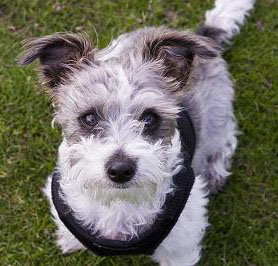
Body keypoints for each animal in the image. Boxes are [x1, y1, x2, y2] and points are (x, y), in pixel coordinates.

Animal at [18, 0, 255, 264]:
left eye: (150, 118)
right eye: (89, 118)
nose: (121, 170)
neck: (119, 203)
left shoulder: (181, 244)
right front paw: (70, 240)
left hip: (217, 115)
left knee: (227, 136)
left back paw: (216, 169)